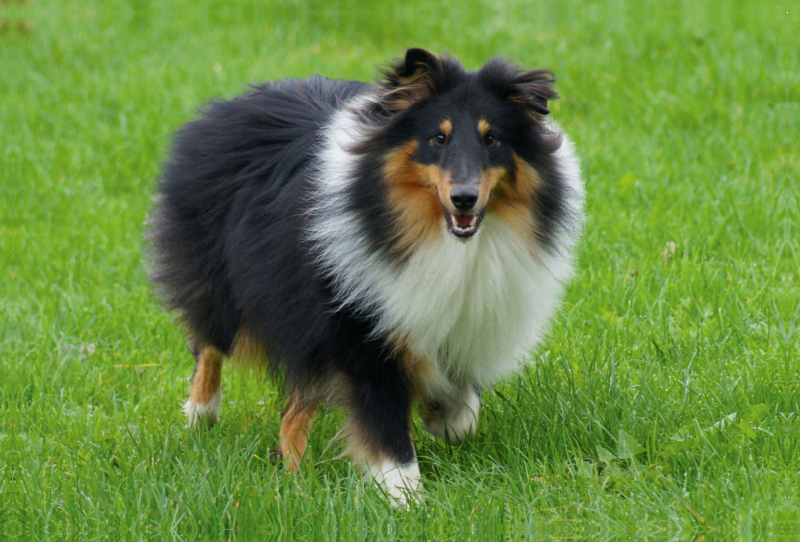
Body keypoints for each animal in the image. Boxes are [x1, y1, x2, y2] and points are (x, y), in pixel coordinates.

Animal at [145, 47, 580, 506]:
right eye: (438, 138)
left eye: (491, 138)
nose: (464, 198)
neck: (436, 236)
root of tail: (230, 105)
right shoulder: (359, 332)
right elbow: (386, 428)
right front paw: (406, 498)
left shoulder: (452, 321)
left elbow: (461, 408)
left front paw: (441, 416)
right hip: (233, 285)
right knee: (209, 342)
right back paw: (202, 414)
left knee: (293, 409)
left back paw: (295, 477)